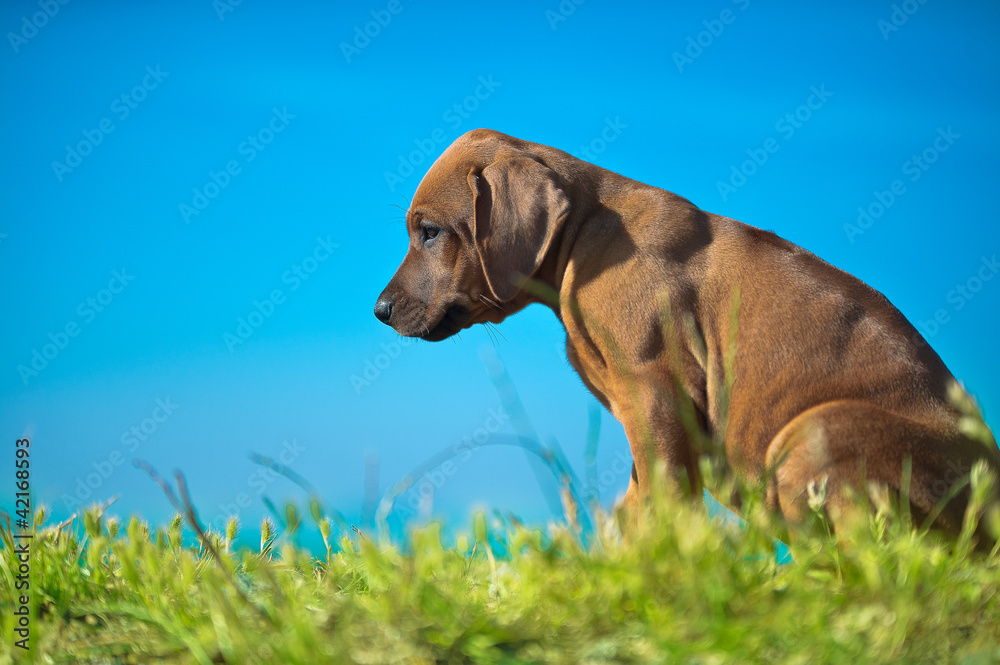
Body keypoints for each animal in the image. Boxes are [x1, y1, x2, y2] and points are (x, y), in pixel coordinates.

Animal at [376, 128, 1000, 540]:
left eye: (429, 232)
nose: (379, 310)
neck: (583, 236)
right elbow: (639, 499)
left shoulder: (653, 394)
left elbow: (663, 498)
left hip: (819, 429)